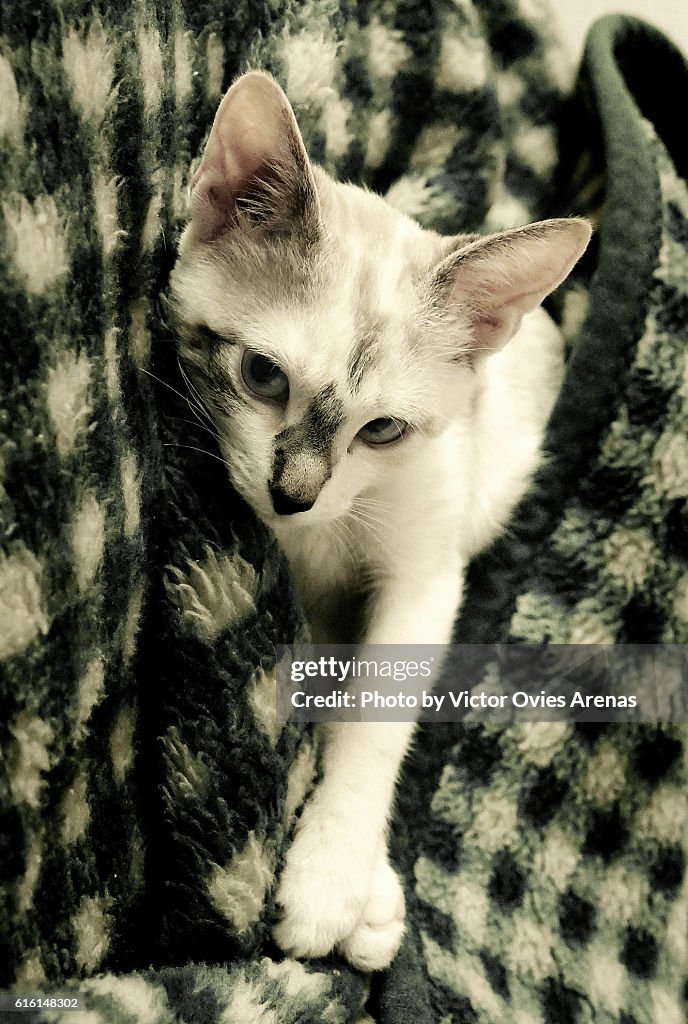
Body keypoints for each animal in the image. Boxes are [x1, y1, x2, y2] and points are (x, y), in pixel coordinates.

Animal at [167, 70, 589, 966]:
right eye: (263, 374)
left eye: (384, 430)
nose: (292, 495)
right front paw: (358, 885)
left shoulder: (428, 572)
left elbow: (377, 711)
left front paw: (335, 875)